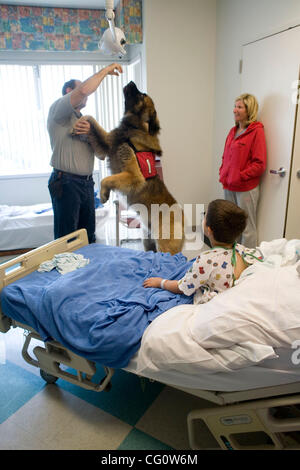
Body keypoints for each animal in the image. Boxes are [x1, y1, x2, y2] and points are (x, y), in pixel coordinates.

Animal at [74, 82, 184, 255]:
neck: (135, 128)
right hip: (147, 241)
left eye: (142, 95)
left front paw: (104, 194)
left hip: (164, 245)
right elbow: (94, 123)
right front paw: (82, 119)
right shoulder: (107, 143)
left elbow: (106, 179)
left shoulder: (134, 176)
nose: (131, 82)